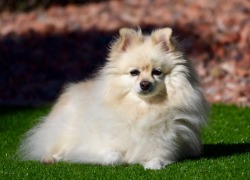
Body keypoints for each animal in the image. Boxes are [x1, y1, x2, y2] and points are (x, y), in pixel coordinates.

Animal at [19, 27, 209, 169]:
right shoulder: (99, 144)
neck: (142, 108)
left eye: (157, 72)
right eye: (134, 72)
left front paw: (151, 164)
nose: (145, 84)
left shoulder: (167, 146)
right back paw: (52, 158)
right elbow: (113, 156)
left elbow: (157, 158)